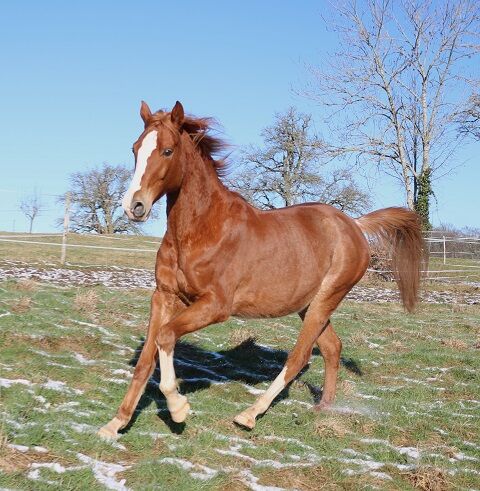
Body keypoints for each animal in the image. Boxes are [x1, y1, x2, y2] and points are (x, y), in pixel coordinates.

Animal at [96, 99, 424, 438]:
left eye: (167, 151)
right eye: (135, 149)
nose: (133, 206)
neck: (202, 230)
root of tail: (354, 225)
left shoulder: (215, 306)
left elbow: (165, 336)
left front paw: (178, 408)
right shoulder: (163, 296)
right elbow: (146, 359)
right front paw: (115, 424)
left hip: (326, 299)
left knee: (299, 356)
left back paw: (250, 414)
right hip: (309, 305)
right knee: (332, 348)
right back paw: (323, 408)